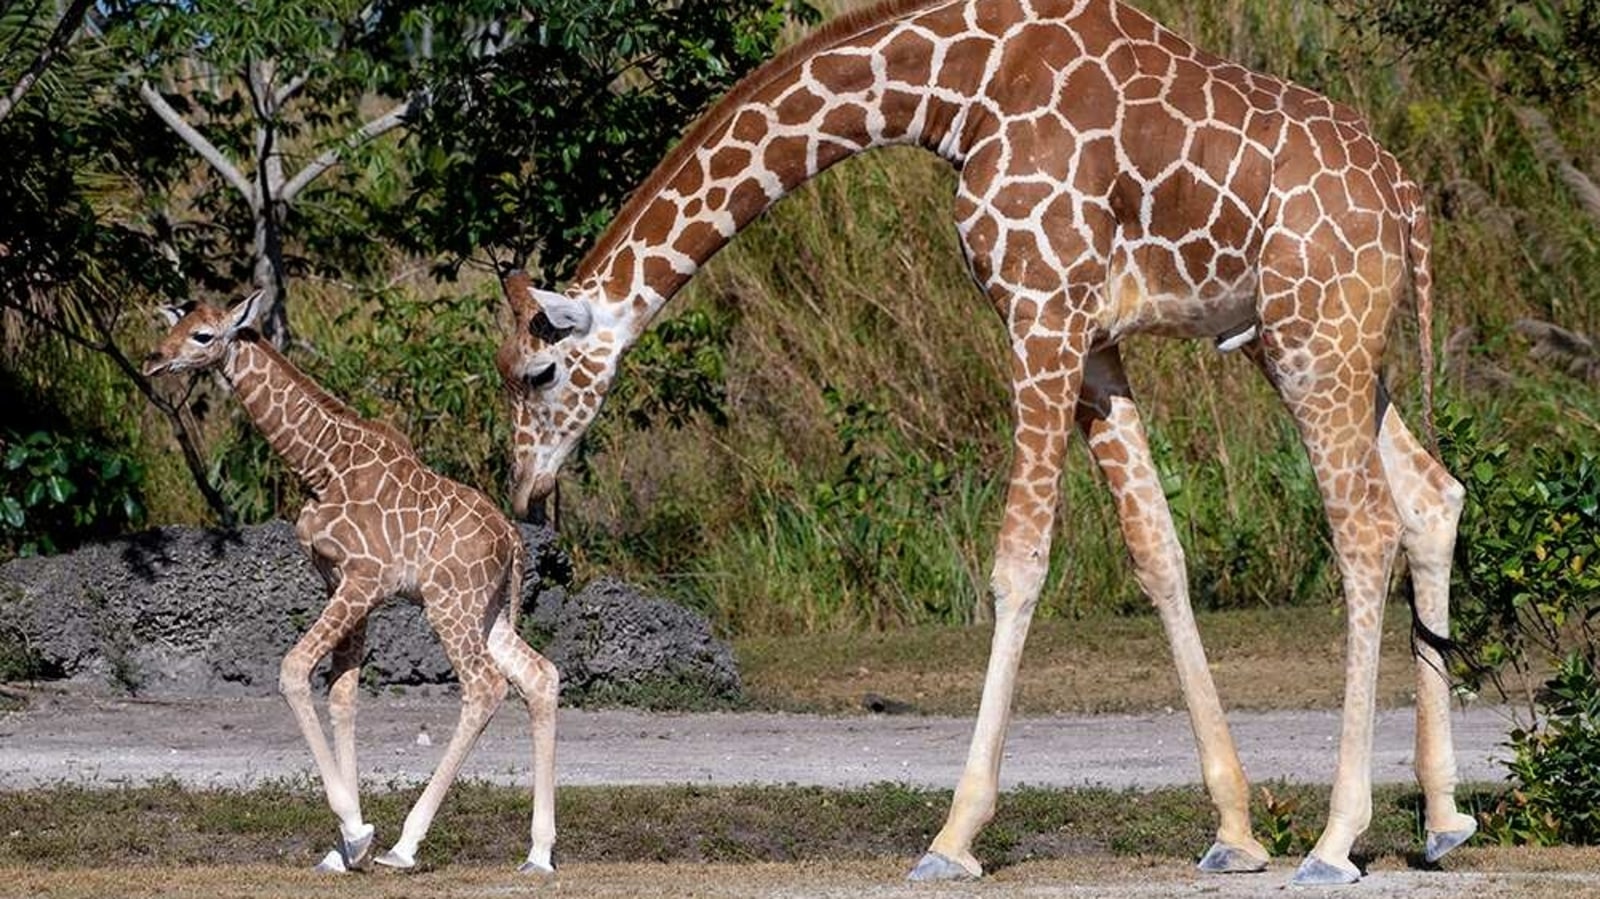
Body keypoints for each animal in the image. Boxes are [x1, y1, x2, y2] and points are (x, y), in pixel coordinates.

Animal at [145, 294, 556, 876]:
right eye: (175, 325)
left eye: (203, 335)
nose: (155, 359)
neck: (319, 465)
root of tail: (515, 543)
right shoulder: (341, 583)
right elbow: (343, 695)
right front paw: (343, 846)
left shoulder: (363, 581)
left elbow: (295, 670)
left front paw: (358, 833)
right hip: (489, 610)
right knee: (539, 676)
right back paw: (539, 854)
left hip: (449, 603)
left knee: (485, 686)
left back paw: (406, 846)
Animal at [496, 0, 1472, 883]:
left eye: (535, 374)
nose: (524, 493)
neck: (955, 91)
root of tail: (1409, 202)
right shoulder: (1093, 339)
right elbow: (1156, 548)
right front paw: (1234, 829)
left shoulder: (1041, 311)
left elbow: (1018, 560)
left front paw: (953, 836)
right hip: (1320, 345)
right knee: (1432, 495)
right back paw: (1443, 820)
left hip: (1317, 337)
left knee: (1365, 530)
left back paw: (1337, 840)